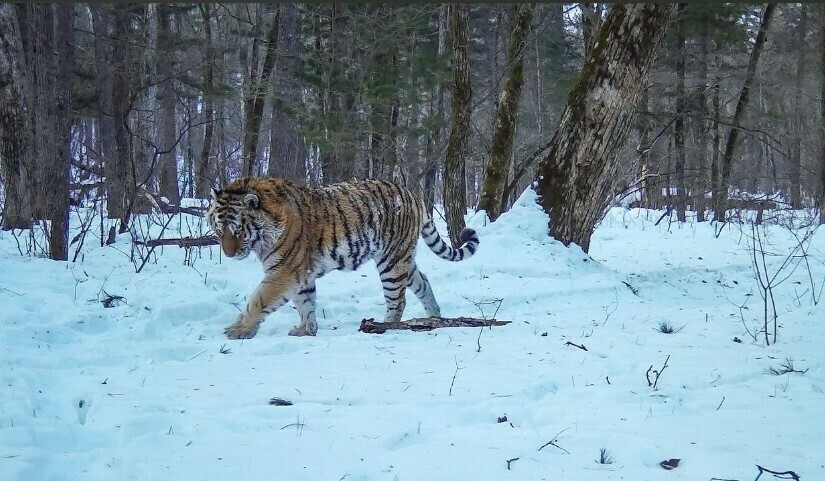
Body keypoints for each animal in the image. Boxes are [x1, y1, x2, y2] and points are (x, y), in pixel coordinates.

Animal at [203, 176, 480, 338]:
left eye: (238, 230)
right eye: (218, 229)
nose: (229, 254)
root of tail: (413, 194)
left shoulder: (284, 270)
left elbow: (258, 300)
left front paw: (239, 330)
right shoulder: (300, 272)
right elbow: (305, 302)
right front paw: (306, 329)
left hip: (391, 261)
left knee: (397, 300)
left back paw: (385, 326)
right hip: (401, 258)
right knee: (422, 282)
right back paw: (435, 316)